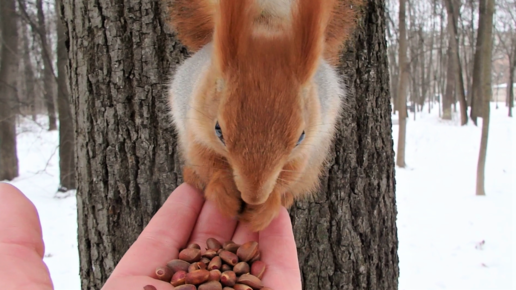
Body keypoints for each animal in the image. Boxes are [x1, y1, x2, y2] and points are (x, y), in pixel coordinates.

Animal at [168, 0, 358, 231]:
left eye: (301, 137)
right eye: (218, 130)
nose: (253, 198)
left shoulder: (307, 147)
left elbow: (291, 172)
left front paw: (267, 206)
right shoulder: (195, 129)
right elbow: (205, 161)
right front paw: (223, 190)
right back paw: (194, 177)